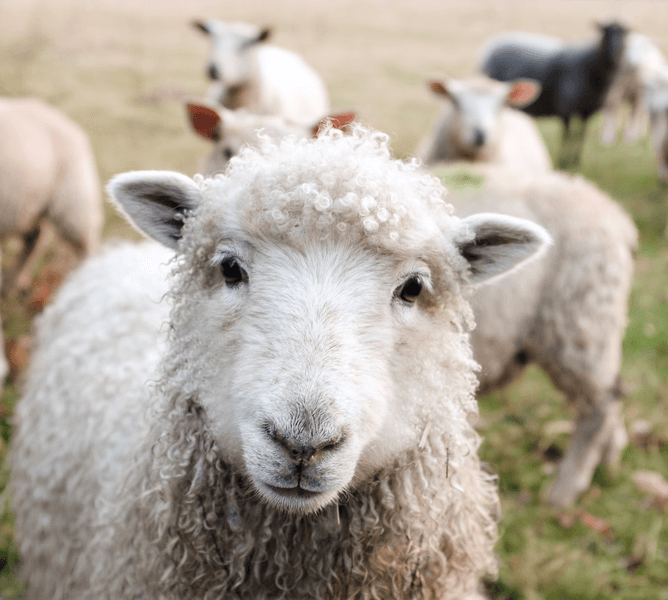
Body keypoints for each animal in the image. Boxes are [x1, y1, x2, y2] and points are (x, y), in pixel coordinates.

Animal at [479, 23, 629, 168]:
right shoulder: (567, 109)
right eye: (606, 32)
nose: (615, 53)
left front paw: (575, 163)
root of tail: (488, 47)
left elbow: (580, 137)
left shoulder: (586, 113)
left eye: (624, 33)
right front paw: (564, 163)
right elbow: (567, 137)